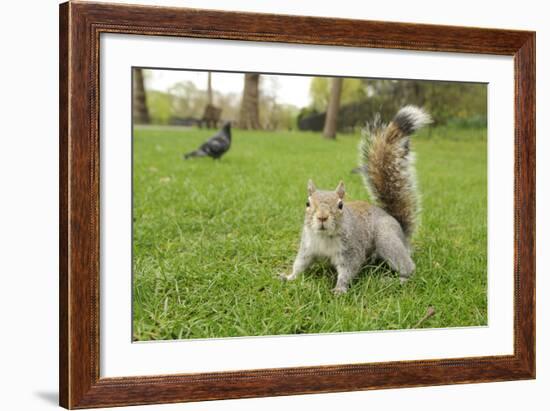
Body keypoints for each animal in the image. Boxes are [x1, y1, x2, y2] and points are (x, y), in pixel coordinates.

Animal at [282, 106, 434, 292]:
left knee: (408, 267)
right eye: (307, 203)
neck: (325, 237)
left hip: (387, 238)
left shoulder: (351, 251)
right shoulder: (307, 247)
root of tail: (401, 230)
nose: (322, 217)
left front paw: (339, 289)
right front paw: (289, 277)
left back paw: (398, 280)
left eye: (340, 205)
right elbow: (300, 264)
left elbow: (348, 269)